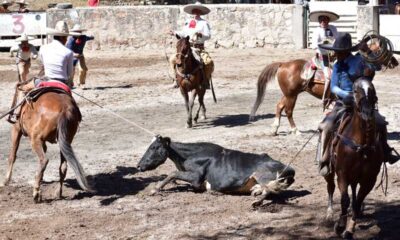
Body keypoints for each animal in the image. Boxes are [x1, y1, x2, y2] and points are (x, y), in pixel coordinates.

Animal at [324, 78, 382, 238]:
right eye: (355, 90)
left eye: (372, 89)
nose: (367, 111)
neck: (361, 145)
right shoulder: (342, 174)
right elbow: (344, 199)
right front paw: (340, 226)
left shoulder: (369, 180)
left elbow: (357, 202)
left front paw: (350, 229)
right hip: (330, 171)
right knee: (330, 187)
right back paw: (329, 213)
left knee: (354, 192)